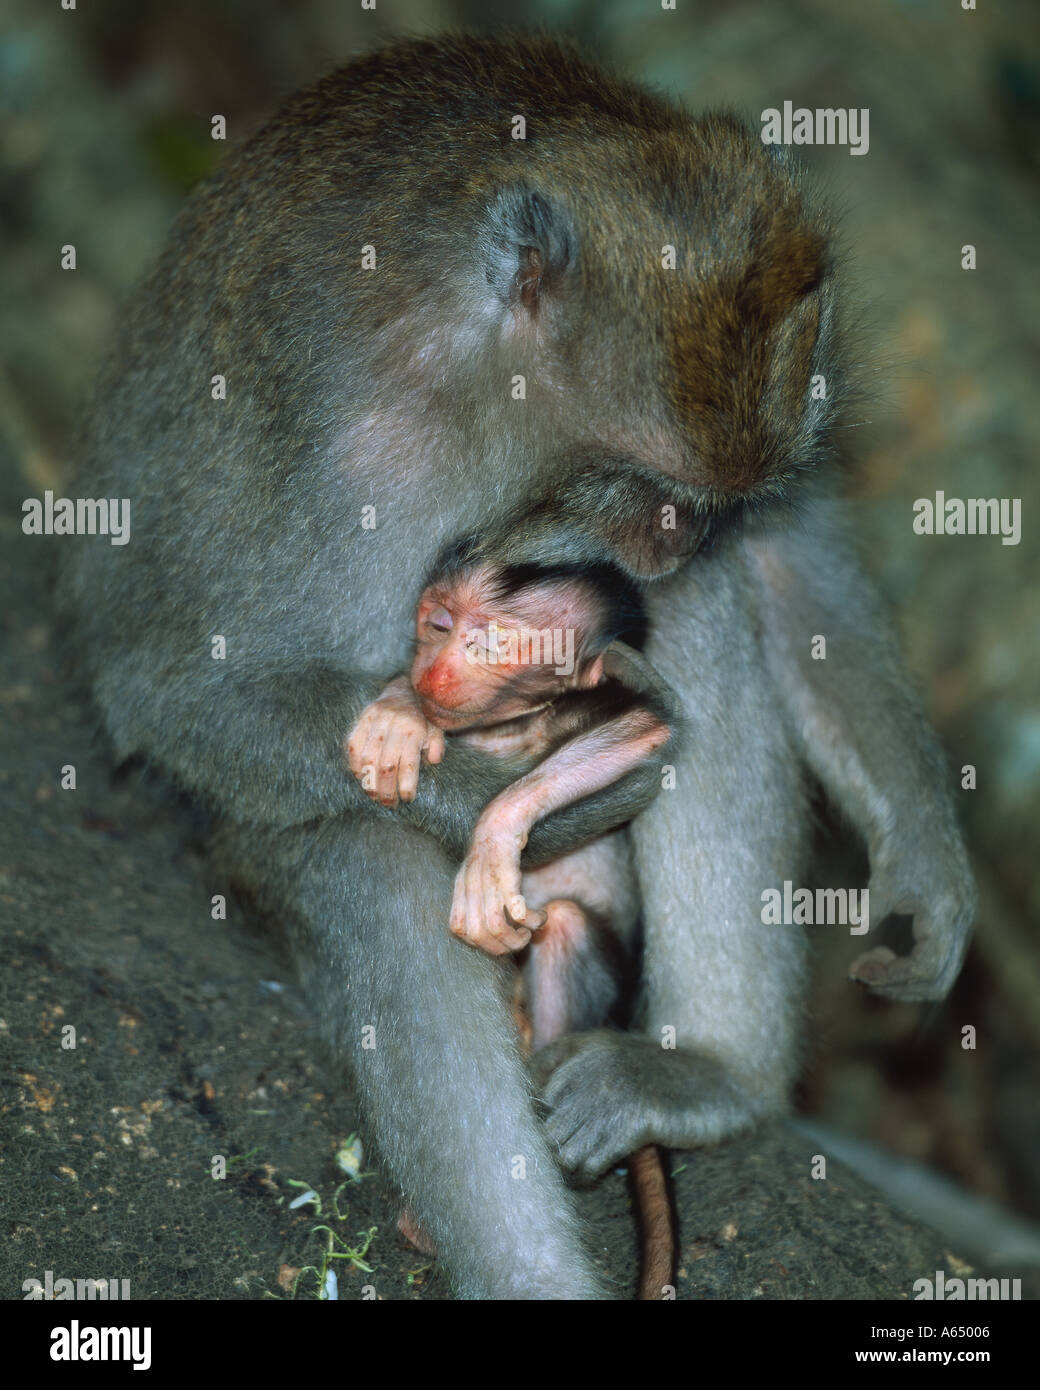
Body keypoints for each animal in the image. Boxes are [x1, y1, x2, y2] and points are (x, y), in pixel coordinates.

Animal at [60, 35, 976, 1299]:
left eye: (714, 502)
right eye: (653, 488)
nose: (679, 540)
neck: (482, 382)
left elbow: (787, 557)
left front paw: (924, 862)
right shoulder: (345, 446)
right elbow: (177, 686)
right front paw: (505, 805)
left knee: (693, 615)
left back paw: (708, 1074)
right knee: (359, 846)